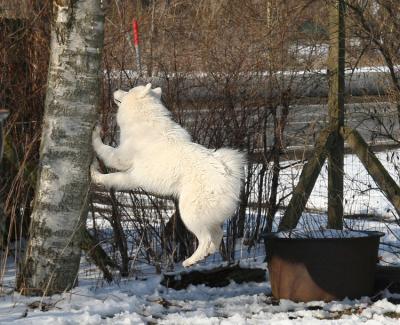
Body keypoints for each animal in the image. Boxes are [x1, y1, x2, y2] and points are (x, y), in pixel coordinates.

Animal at [92, 83, 245, 266]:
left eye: (128, 90)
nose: (115, 89)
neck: (145, 119)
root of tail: (227, 172)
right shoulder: (132, 177)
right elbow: (114, 178)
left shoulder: (121, 160)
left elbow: (104, 151)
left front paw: (94, 154)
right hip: (206, 216)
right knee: (218, 235)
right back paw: (207, 253)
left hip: (189, 213)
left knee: (205, 238)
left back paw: (191, 260)